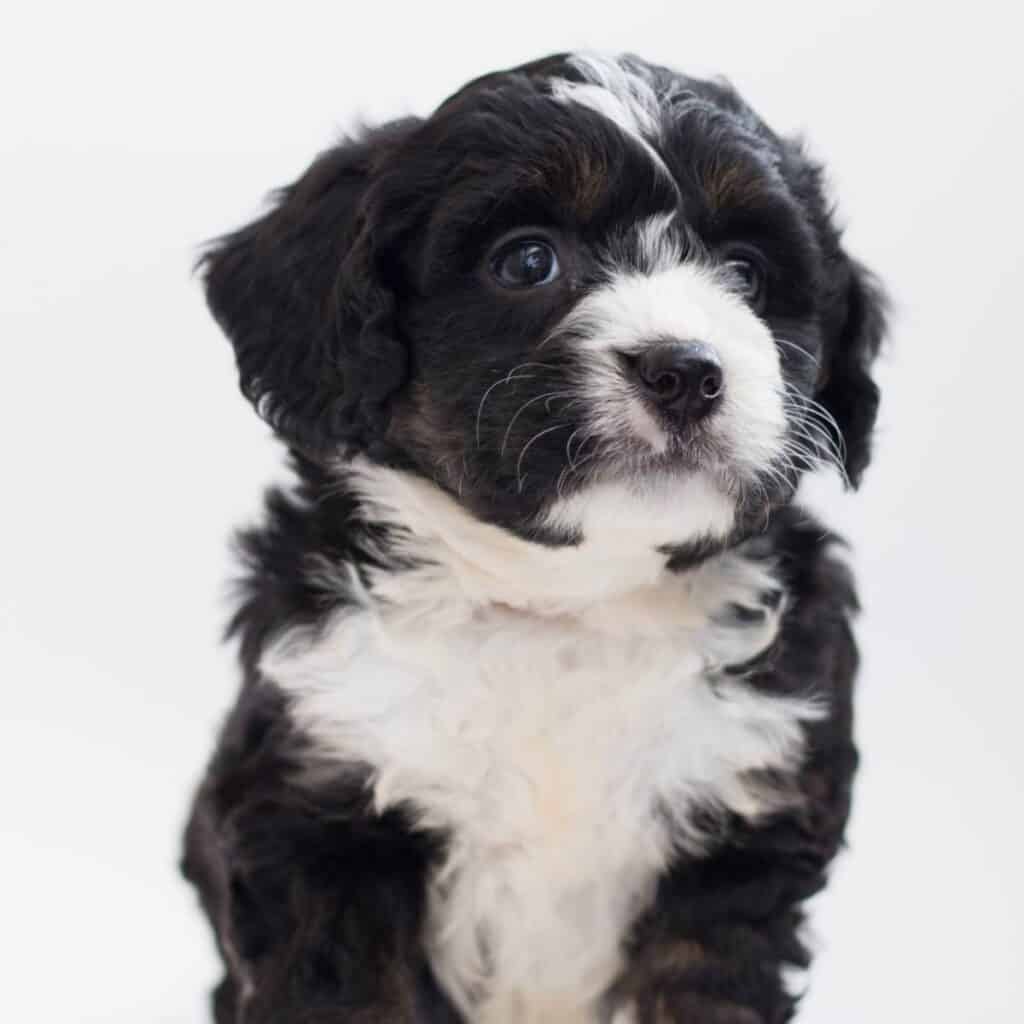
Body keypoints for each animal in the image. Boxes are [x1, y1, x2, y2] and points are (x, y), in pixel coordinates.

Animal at [184, 49, 888, 1024]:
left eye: (745, 274)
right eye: (527, 261)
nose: (685, 371)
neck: (566, 605)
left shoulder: (737, 850)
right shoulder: (321, 815)